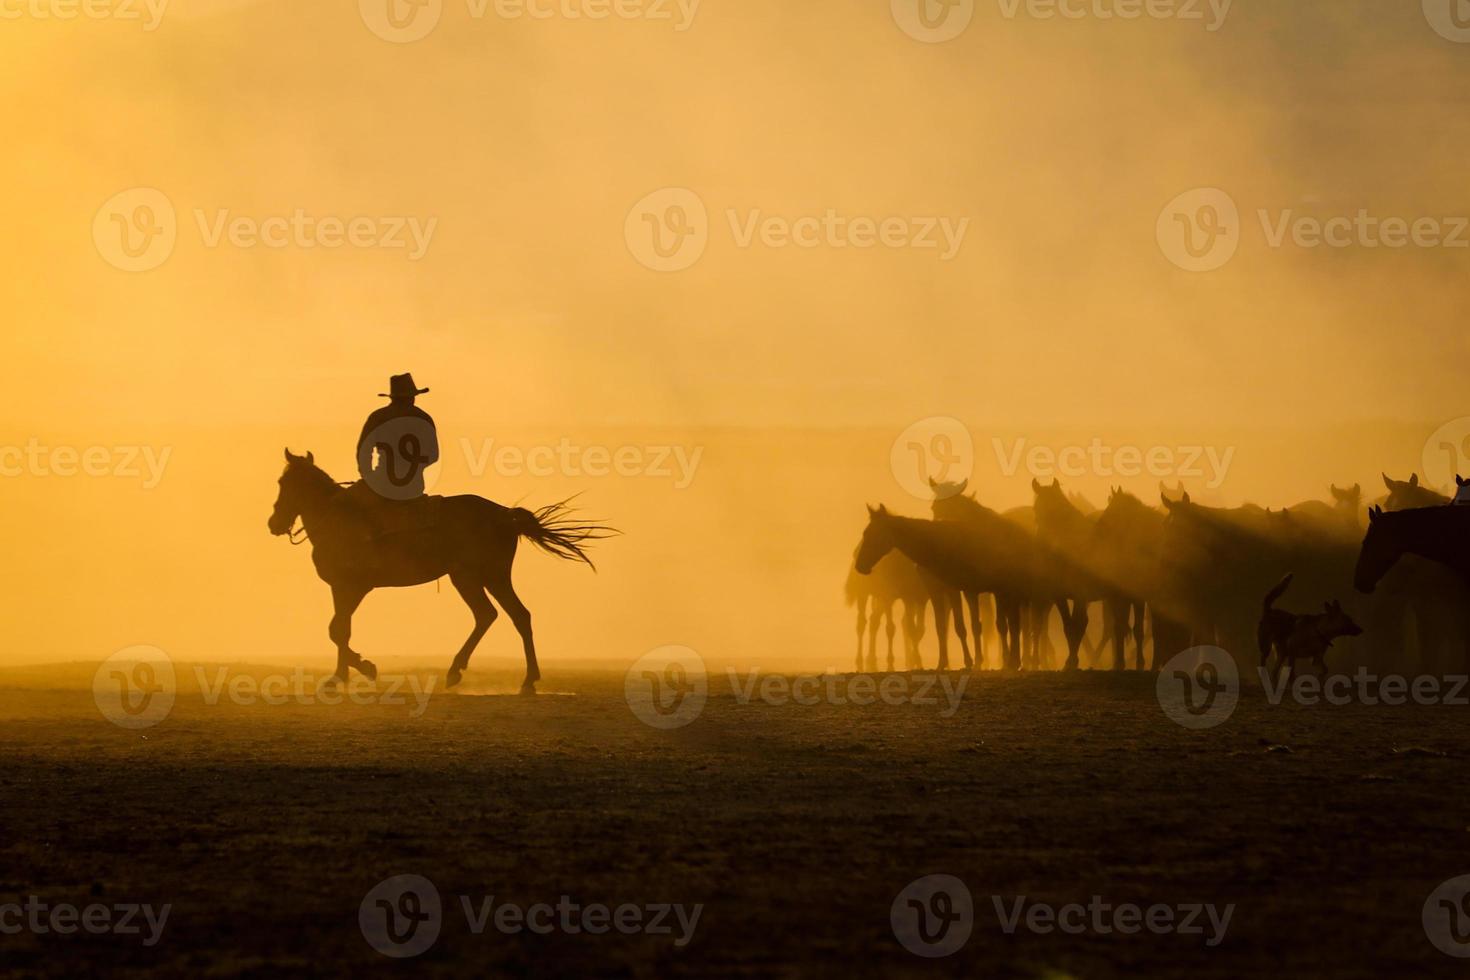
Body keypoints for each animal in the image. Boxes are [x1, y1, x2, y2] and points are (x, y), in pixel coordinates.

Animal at [270, 449, 608, 690]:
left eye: (283, 483)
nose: (273, 523)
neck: (335, 517)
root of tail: (505, 515)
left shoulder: (353, 586)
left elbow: (337, 630)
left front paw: (365, 668)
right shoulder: (340, 588)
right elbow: (341, 628)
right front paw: (340, 676)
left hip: (482, 576)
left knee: (503, 615)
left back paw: (499, 676)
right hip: (479, 577)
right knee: (504, 615)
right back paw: (500, 676)